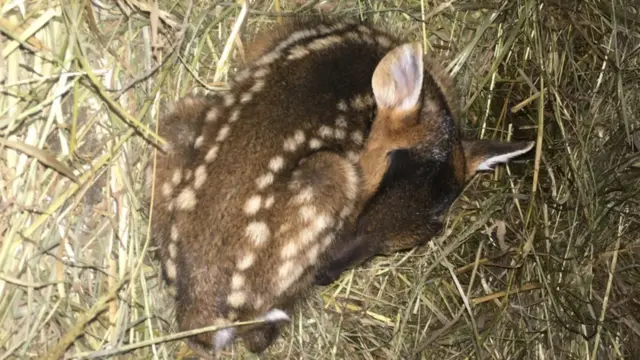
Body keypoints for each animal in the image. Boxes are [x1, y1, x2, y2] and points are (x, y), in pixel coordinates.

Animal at [148, 16, 532, 358]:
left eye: (417, 237)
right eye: (376, 177)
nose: (327, 273)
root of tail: (201, 313)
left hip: (183, 117)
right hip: (330, 174)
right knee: (258, 336)